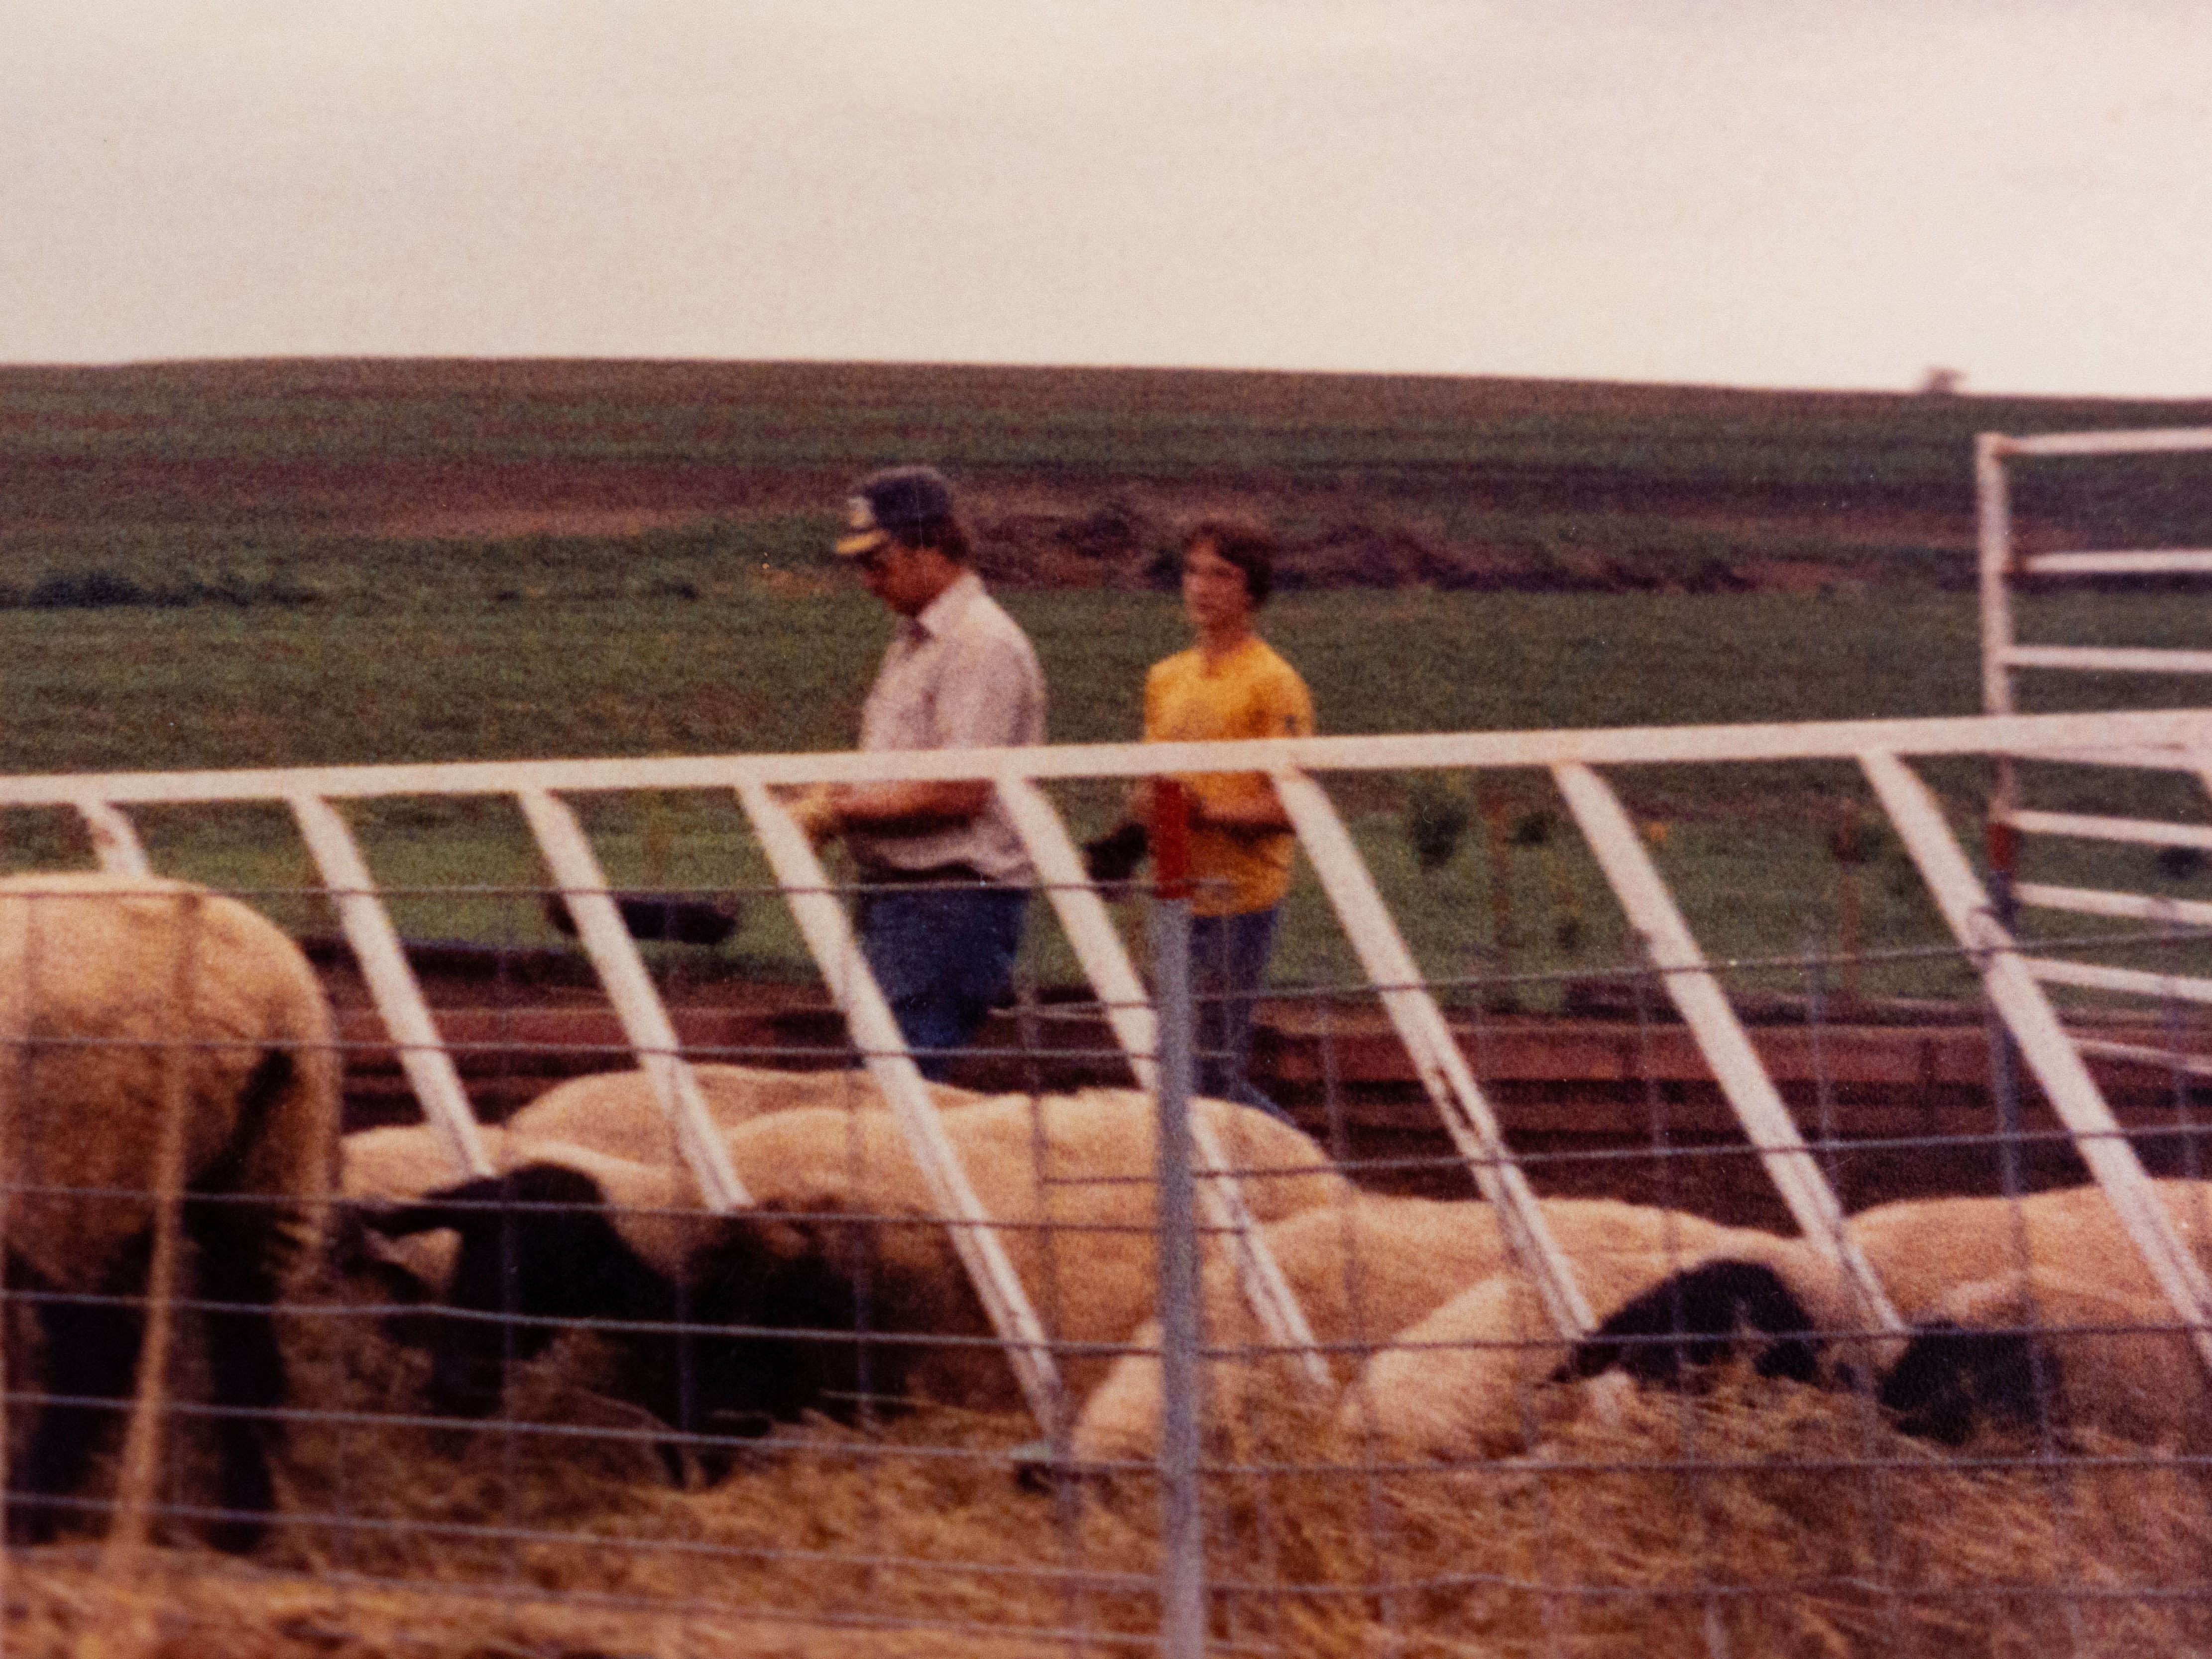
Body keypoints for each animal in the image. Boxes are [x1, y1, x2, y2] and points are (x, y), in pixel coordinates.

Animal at [0, 876, 341, 1557]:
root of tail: (272, 994)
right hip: (262, 1170)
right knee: (246, 1357)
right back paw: (238, 1531)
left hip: (76, 1173)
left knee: (97, 1353)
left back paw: (27, 1514)